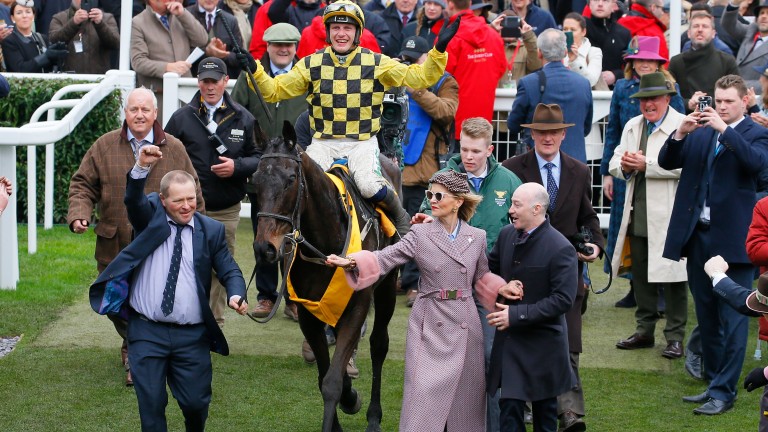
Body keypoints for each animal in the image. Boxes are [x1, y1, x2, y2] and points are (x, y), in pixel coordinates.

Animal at [252, 122, 400, 432]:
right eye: (255, 180)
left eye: (291, 178)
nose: (264, 248)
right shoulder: (308, 312)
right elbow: (325, 376)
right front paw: (347, 397)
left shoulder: (357, 307)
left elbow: (332, 382)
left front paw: (350, 398)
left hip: (388, 288)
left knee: (379, 345)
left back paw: (374, 417)